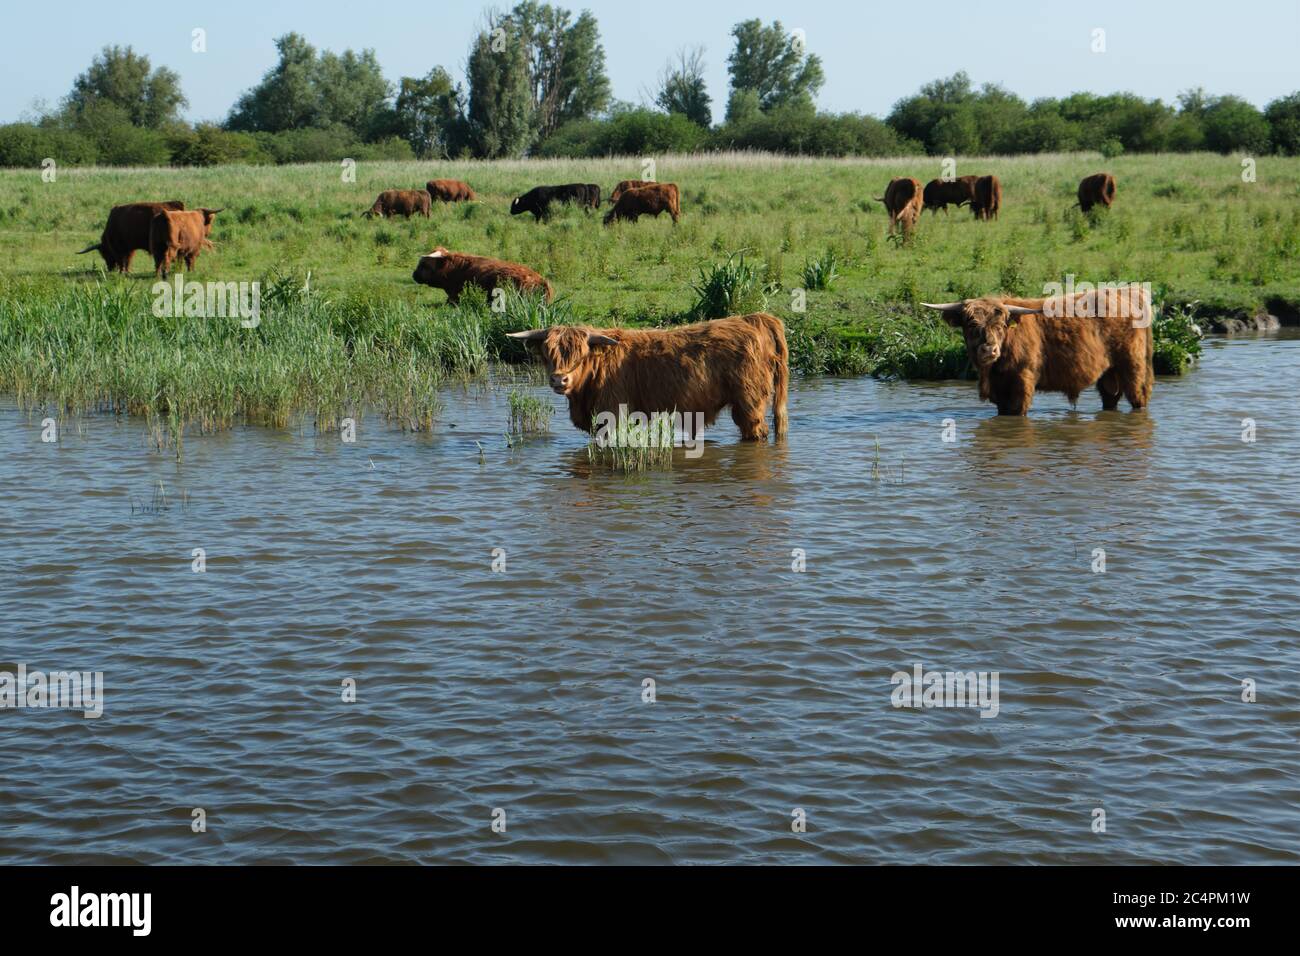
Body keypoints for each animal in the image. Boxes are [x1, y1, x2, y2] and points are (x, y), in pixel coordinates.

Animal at [509, 317, 790, 444]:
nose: (560, 379)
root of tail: (753, 318)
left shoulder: (611, 413)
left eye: (580, 356)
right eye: (548, 355)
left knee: (756, 430)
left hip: (749, 402)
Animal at [920, 286, 1154, 416]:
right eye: (970, 324)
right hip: (1110, 373)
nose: (989, 349)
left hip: (1133, 366)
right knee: (1110, 397)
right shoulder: (1000, 393)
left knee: (1138, 397)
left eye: (1001, 326)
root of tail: (1129, 291)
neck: (992, 372)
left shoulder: (1022, 383)